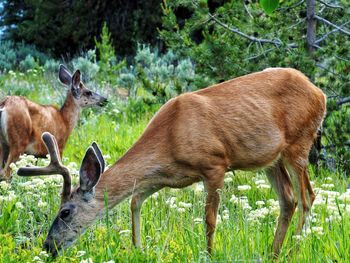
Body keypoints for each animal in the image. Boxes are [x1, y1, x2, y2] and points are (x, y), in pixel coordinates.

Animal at [17, 68, 326, 260]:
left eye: (65, 212)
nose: (48, 247)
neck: (170, 137)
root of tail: (320, 93)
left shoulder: (215, 164)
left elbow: (209, 220)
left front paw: (209, 255)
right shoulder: (162, 177)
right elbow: (135, 201)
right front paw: (138, 249)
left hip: (299, 144)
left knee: (307, 196)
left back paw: (294, 250)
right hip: (270, 160)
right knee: (288, 200)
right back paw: (273, 253)